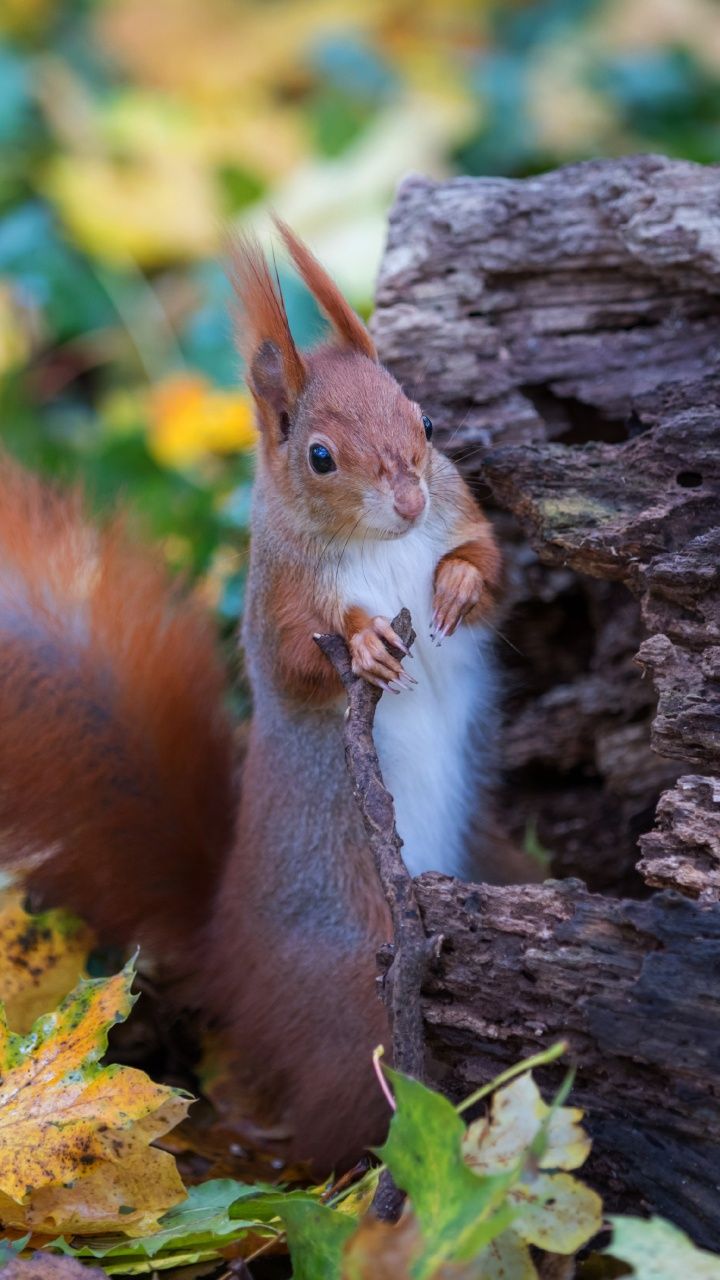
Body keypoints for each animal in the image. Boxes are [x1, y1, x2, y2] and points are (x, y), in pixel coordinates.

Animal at [0, 220, 507, 1174]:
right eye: (320, 457)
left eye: (425, 419)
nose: (408, 495)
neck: (381, 544)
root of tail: (227, 949)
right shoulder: (278, 603)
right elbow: (300, 660)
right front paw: (367, 643)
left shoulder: (457, 511)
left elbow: (489, 568)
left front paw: (455, 586)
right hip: (357, 988)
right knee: (347, 1109)